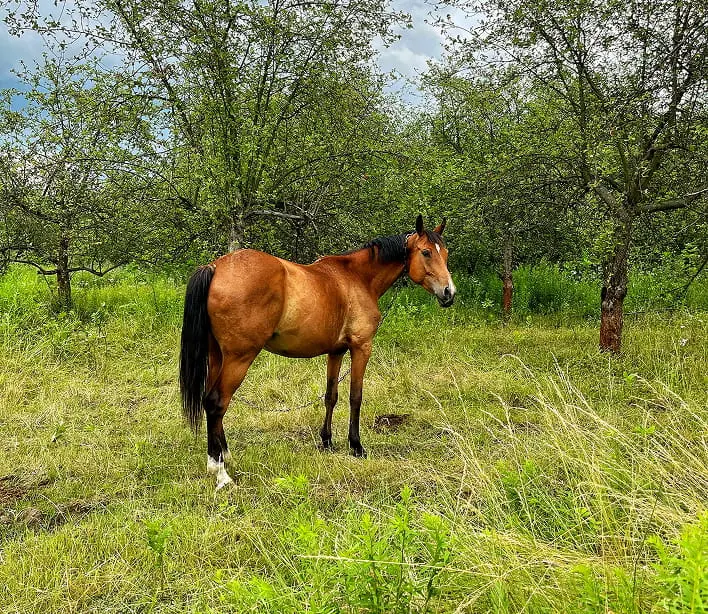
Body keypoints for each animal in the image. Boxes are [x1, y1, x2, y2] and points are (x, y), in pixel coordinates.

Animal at [179, 215, 456, 489]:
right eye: (426, 252)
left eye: (445, 253)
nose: (449, 293)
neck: (357, 278)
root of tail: (216, 267)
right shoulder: (361, 347)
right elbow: (355, 396)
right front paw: (356, 446)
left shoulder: (336, 352)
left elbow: (330, 396)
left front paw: (327, 441)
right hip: (239, 358)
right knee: (217, 403)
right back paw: (221, 472)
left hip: (217, 356)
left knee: (211, 402)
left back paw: (223, 457)